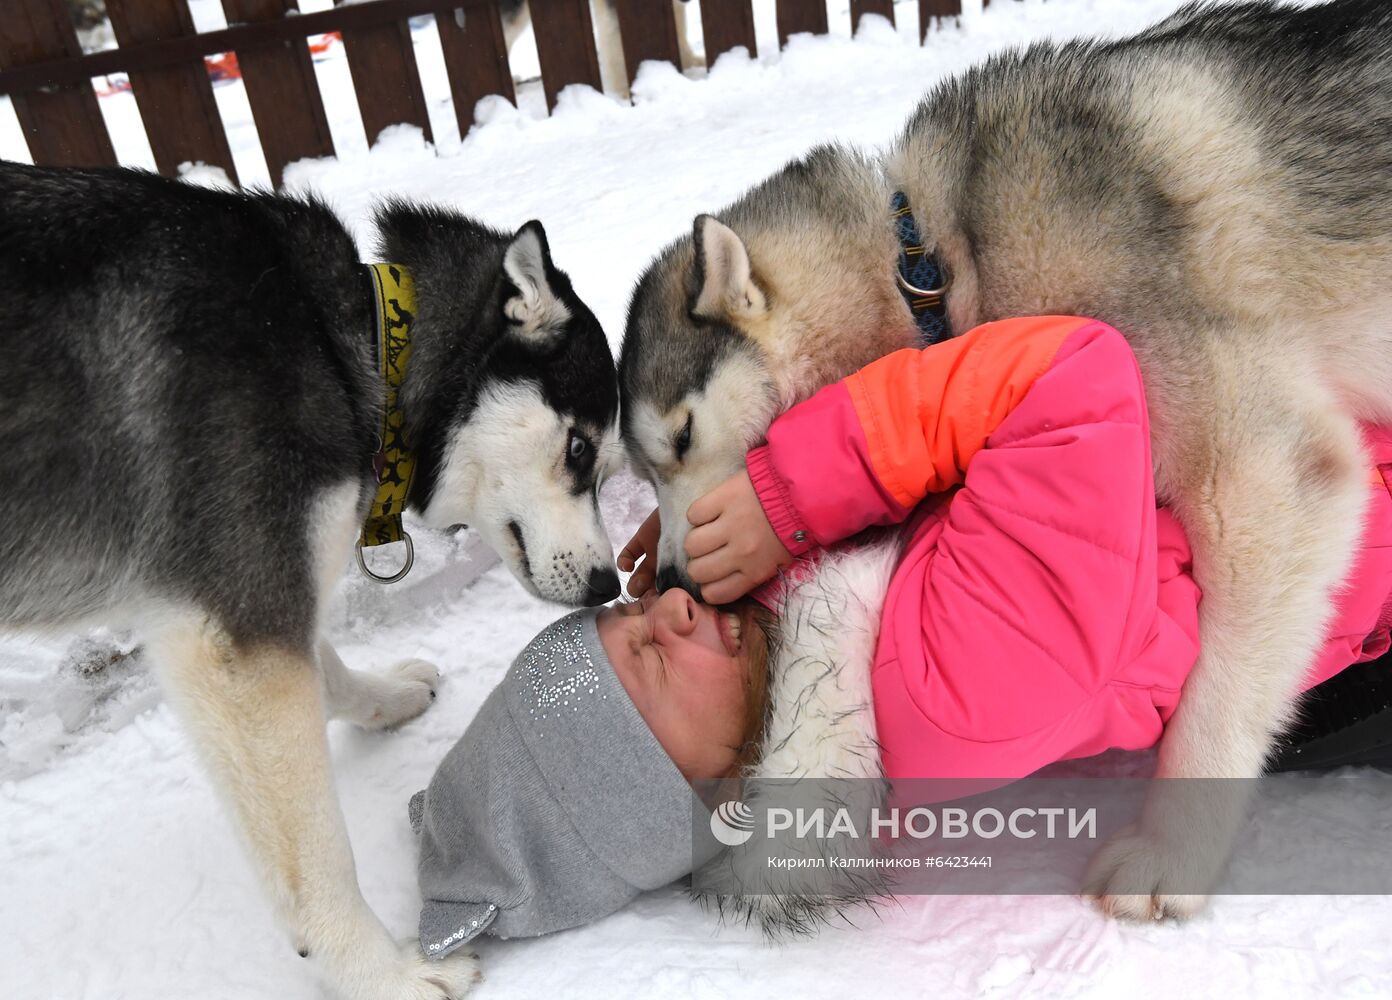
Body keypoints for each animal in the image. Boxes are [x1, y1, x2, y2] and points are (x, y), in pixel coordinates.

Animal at [0, 164, 620, 1000]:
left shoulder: (255, 589)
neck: (354, 344)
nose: (609, 583)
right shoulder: (238, 623)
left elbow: (322, 666)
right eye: (581, 451)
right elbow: (317, 854)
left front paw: (381, 701)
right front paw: (383, 973)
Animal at [623, 0, 1392, 924]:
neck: (931, 262)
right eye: (644, 469)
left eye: (682, 439)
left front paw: (1171, 852)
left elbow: (1222, 677)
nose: (674, 581)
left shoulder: (1265, 472)